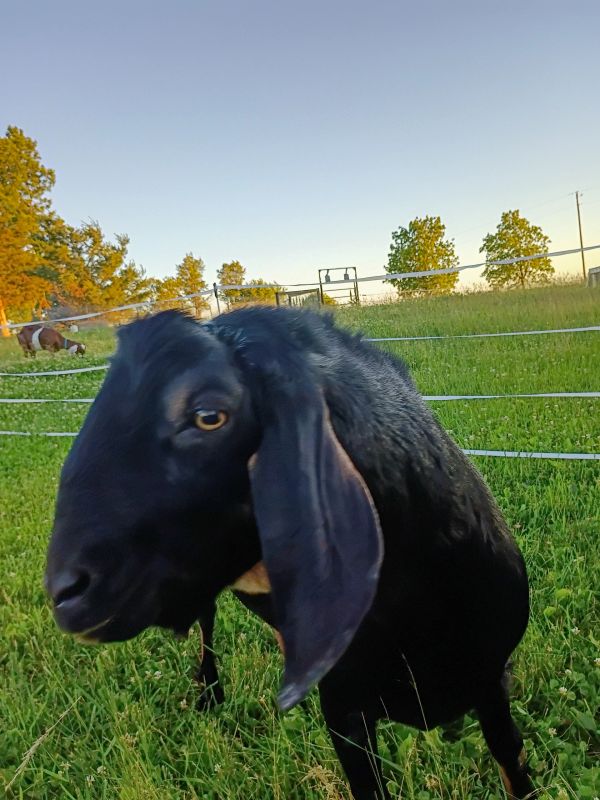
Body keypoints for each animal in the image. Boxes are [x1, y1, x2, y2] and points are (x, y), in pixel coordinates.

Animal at [45, 307, 534, 799]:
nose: (65, 592)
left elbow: (512, 763)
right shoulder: (344, 710)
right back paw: (209, 693)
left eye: (208, 416)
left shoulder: (492, 679)